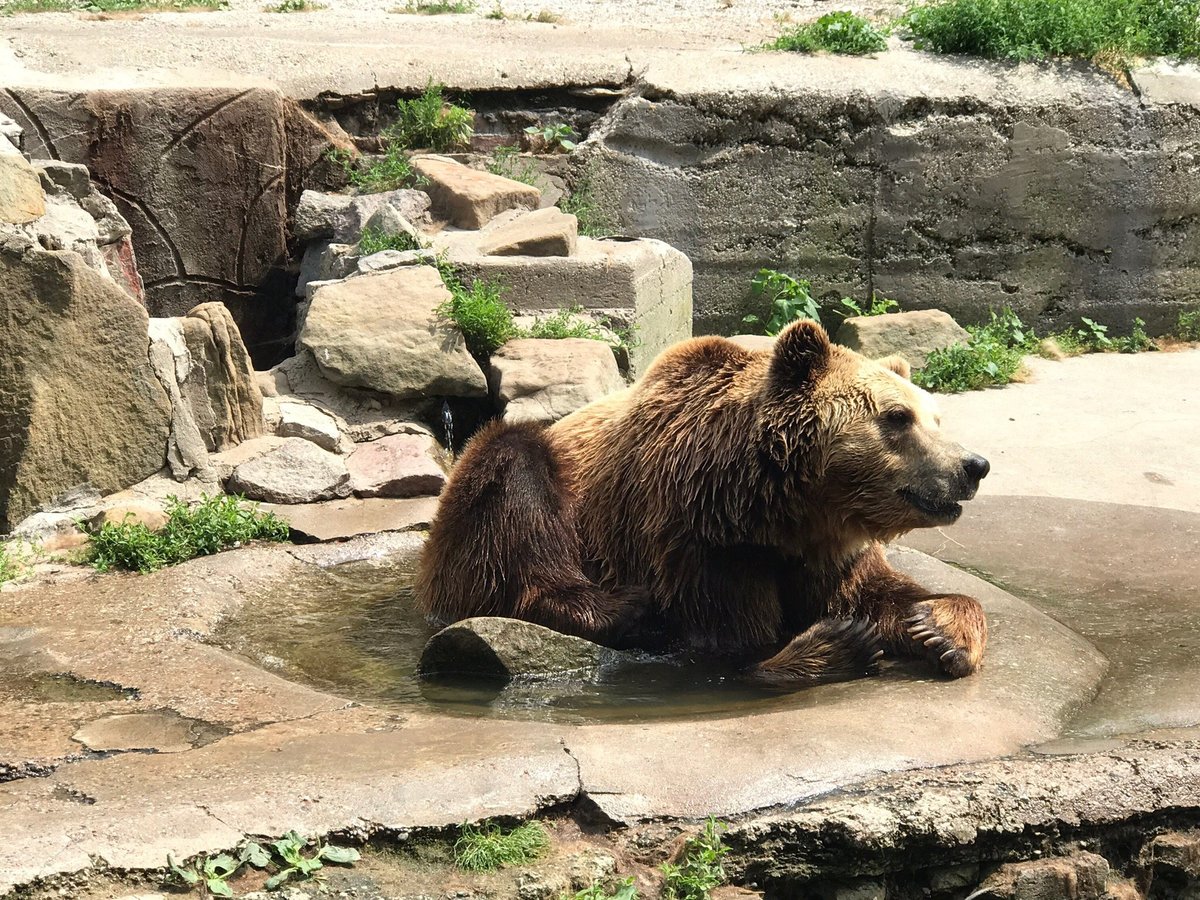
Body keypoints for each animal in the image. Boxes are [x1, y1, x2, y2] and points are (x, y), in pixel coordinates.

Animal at [417, 321, 988, 686]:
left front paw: (939, 627)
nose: (973, 466)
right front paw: (836, 644)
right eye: (896, 417)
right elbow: (722, 648)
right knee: (512, 485)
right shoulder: (700, 544)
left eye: (935, 417)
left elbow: (881, 593)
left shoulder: (829, 551)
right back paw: (618, 608)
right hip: (525, 493)